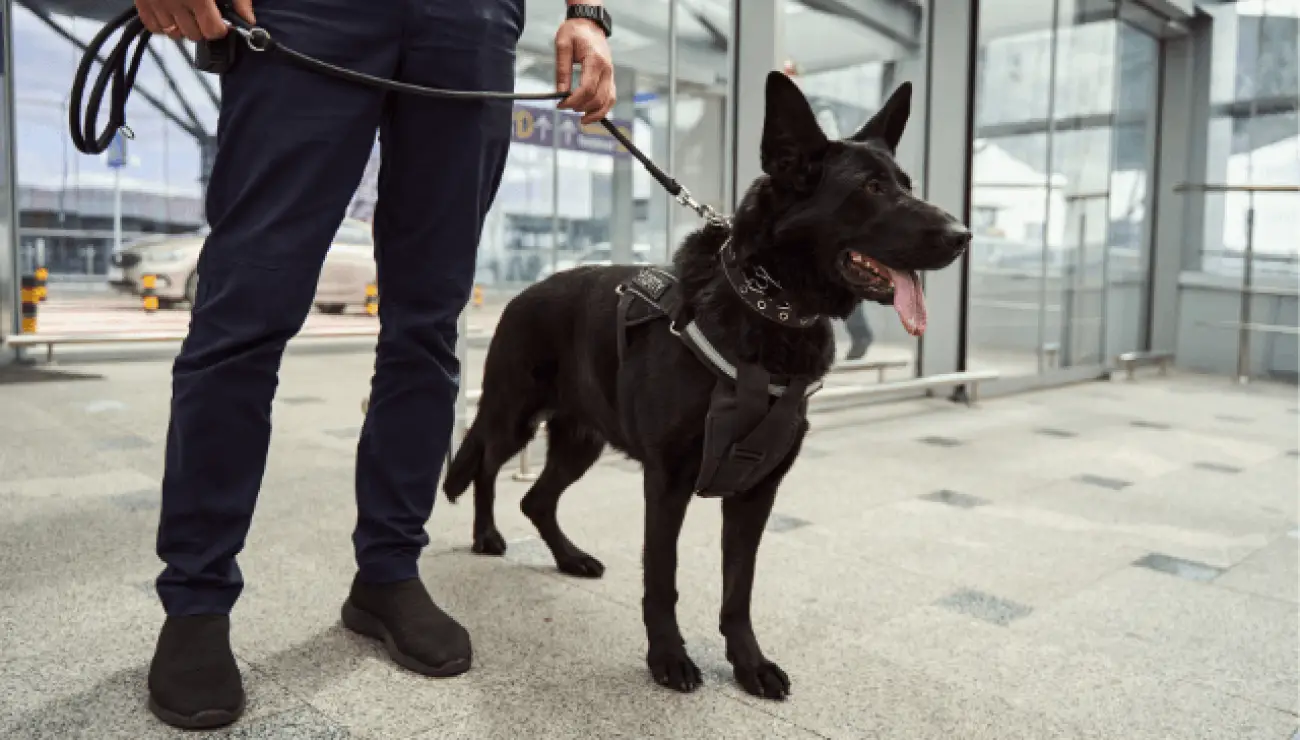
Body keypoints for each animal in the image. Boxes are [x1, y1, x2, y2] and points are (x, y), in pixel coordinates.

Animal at [447, 72, 967, 702]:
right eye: (871, 188)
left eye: (907, 186)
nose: (963, 235)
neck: (767, 307)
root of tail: (524, 293)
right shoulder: (667, 483)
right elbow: (662, 578)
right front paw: (668, 657)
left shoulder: (757, 489)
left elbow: (738, 590)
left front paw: (748, 663)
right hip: (513, 416)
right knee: (485, 464)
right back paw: (486, 533)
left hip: (582, 441)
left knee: (537, 499)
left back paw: (570, 558)